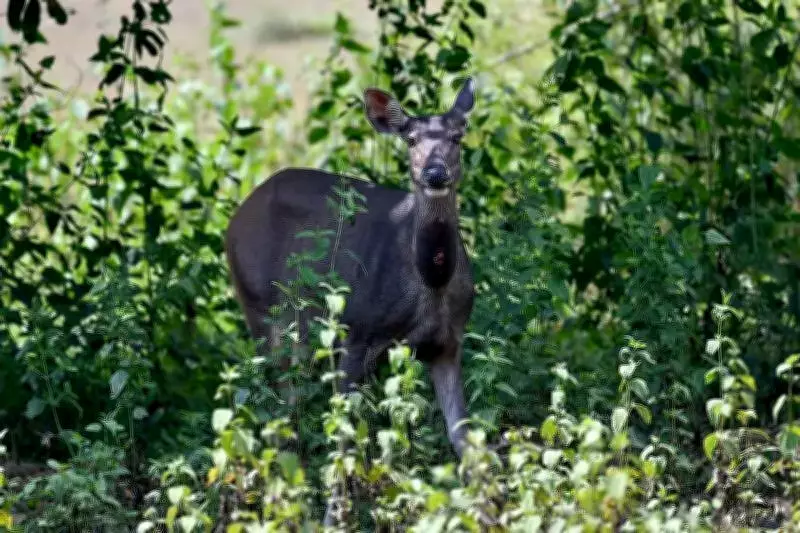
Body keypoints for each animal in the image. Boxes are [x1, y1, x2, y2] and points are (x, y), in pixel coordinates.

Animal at [224, 78, 477, 518]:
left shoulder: (447, 341)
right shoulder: (357, 332)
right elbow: (342, 434)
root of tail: (233, 222)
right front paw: (333, 517)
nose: (435, 172)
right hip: (260, 307)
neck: (430, 284)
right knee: (277, 406)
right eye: (411, 139)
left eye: (457, 137)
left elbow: (461, 436)